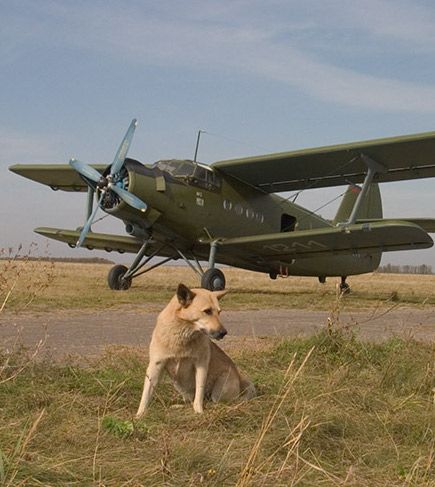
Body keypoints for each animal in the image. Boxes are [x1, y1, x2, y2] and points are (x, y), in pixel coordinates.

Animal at [136, 284, 255, 418]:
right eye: (207, 311)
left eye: (219, 312)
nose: (224, 333)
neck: (182, 335)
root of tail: (240, 380)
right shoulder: (155, 366)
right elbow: (146, 394)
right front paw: (139, 415)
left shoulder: (201, 365)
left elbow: (199, 393)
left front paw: (199, 411)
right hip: (179, 385)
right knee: (190, 400)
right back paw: (178, 406)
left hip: (219, 391)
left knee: (214, 401)